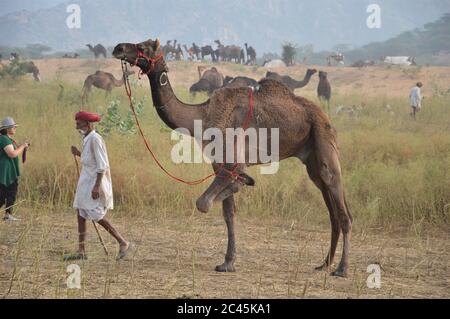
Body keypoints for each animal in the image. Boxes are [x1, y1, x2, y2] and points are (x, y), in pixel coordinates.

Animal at [114, 38, 354, 278]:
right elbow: (228, 213)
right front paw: (227, 262)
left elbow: (204, 202)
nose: (119, 48)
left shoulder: (231, 159)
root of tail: (325, 116)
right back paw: (324, 263)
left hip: (323, 142)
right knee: (331, 209)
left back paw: (341, 268)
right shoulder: (217, 163)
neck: (201, 117)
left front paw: (243, 182)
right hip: (311, 160)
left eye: (143, 47)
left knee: (340, 205)